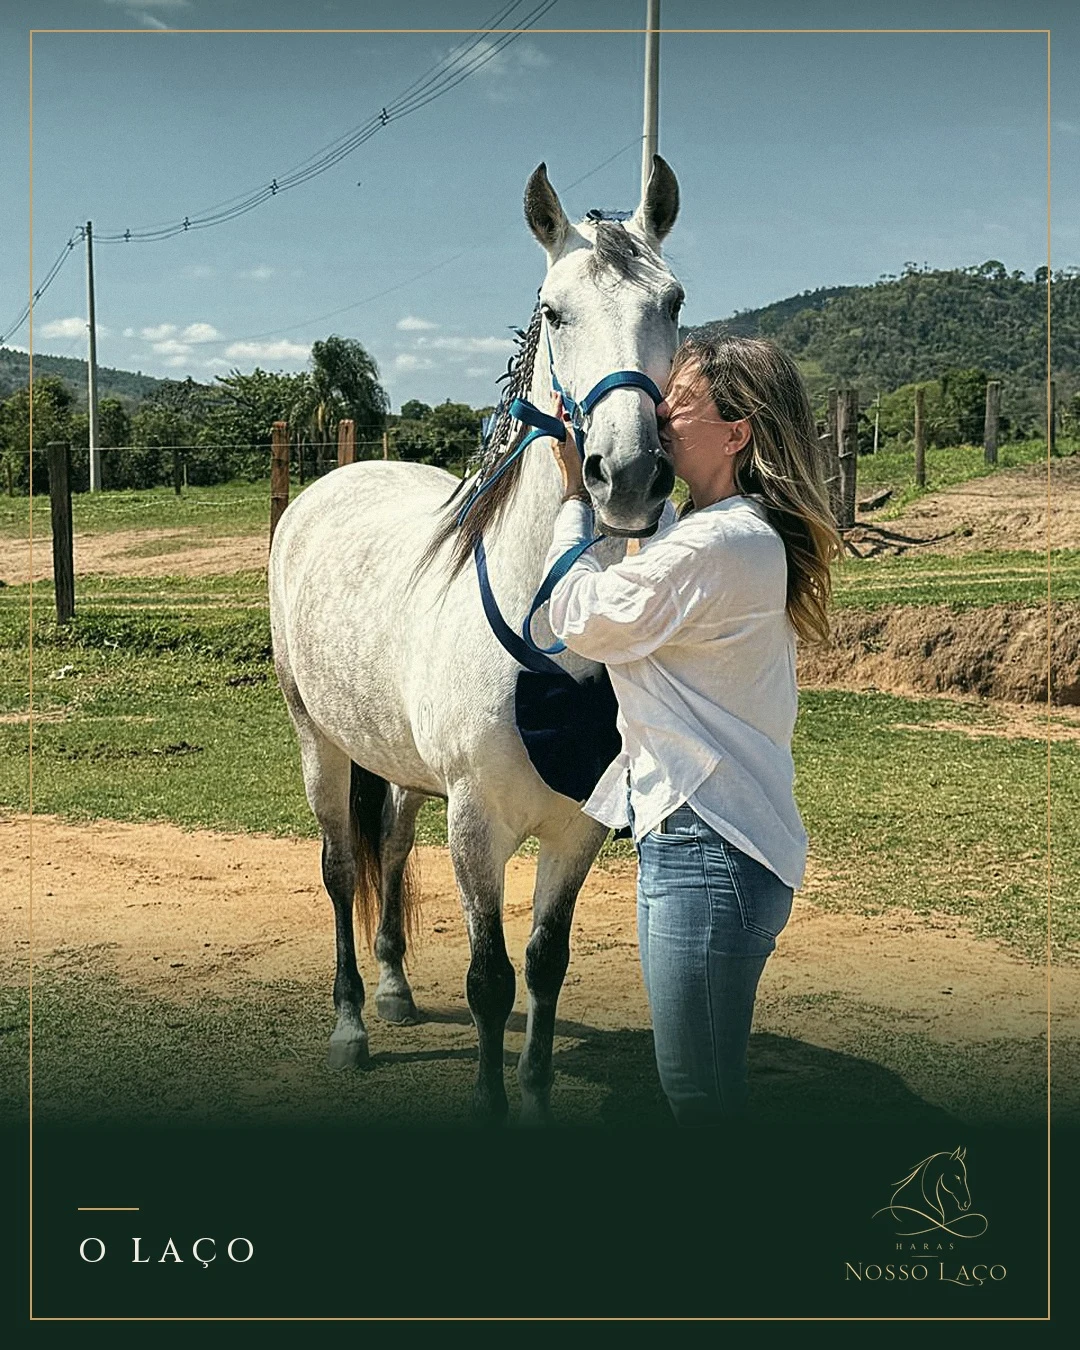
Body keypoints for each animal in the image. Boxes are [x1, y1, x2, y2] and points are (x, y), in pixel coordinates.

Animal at [268, 156, 682, 1123]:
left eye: (675, 302)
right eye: (556, 310)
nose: (629, 474)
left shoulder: (577, 828)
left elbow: (545, 964)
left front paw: (532, 1093)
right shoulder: (475, 826)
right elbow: (490, 978)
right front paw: (494, 1104)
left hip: (401, 766)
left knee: (387, 845)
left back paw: (392, 988)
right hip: (320, 744)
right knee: (340, 869)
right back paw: (352, 1024)